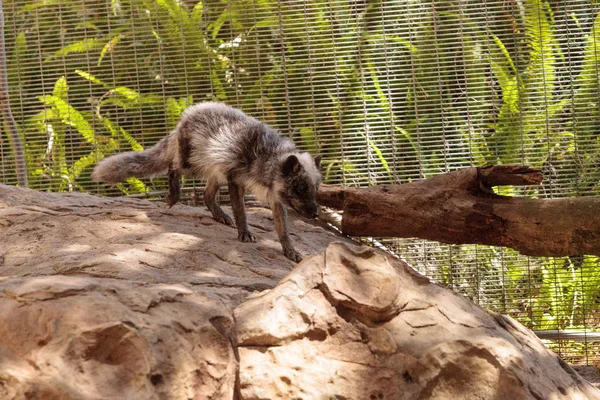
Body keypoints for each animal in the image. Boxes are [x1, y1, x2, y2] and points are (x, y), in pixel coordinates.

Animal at [91, 100, 322, 262]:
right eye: (300, 187)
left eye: (314, 190)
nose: (315, 214)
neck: (266, 158)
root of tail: (186, 115)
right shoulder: (235, 180)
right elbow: (241, 213)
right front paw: (244, 233)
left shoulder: (275, 198)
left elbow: (283, 230)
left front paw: (291, 251)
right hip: (193, 165)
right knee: (173, 167)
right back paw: (173, 196)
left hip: (215, 172)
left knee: (206, 195)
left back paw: (220, 215)